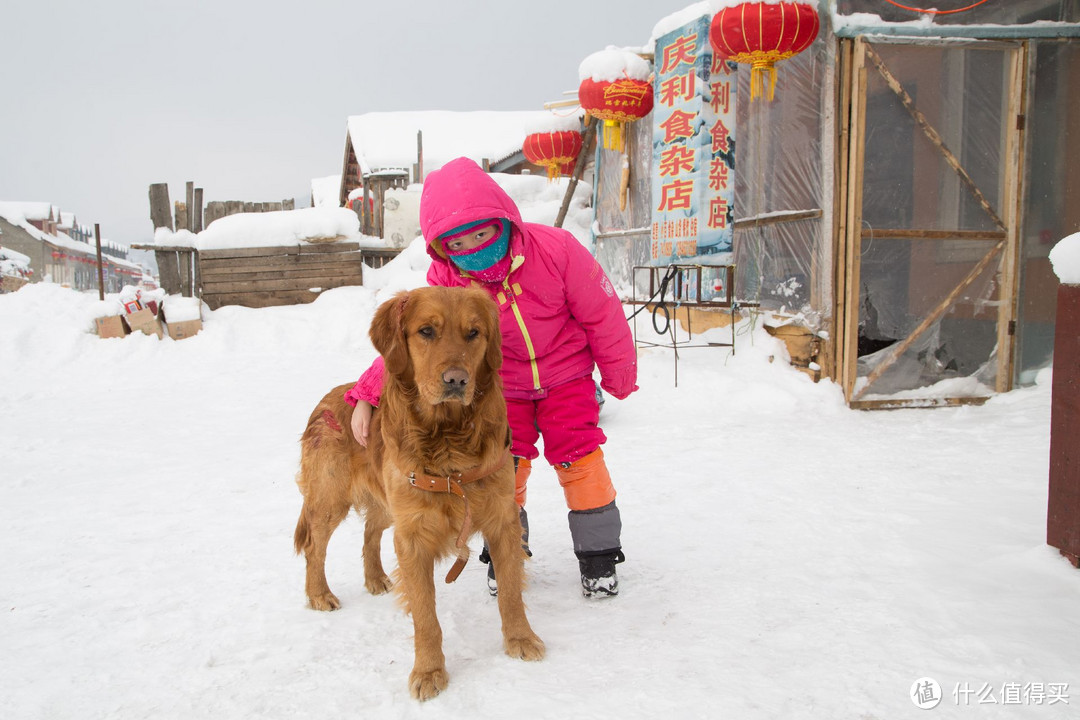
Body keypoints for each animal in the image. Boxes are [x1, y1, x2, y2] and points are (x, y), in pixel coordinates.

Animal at [293, 284, 540, 699]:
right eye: (426, 331)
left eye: (474, 333)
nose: (456, 380)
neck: (448, 440)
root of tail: (327, 398)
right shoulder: (412, 536)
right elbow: (426, 615)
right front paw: (429, 671)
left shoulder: (502, 520)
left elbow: (509, 591)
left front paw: (520, 639)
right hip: (330, 500)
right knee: (315, 547)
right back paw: (319, 595)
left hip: (385, 503)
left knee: (369, 533)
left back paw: (375, 578)